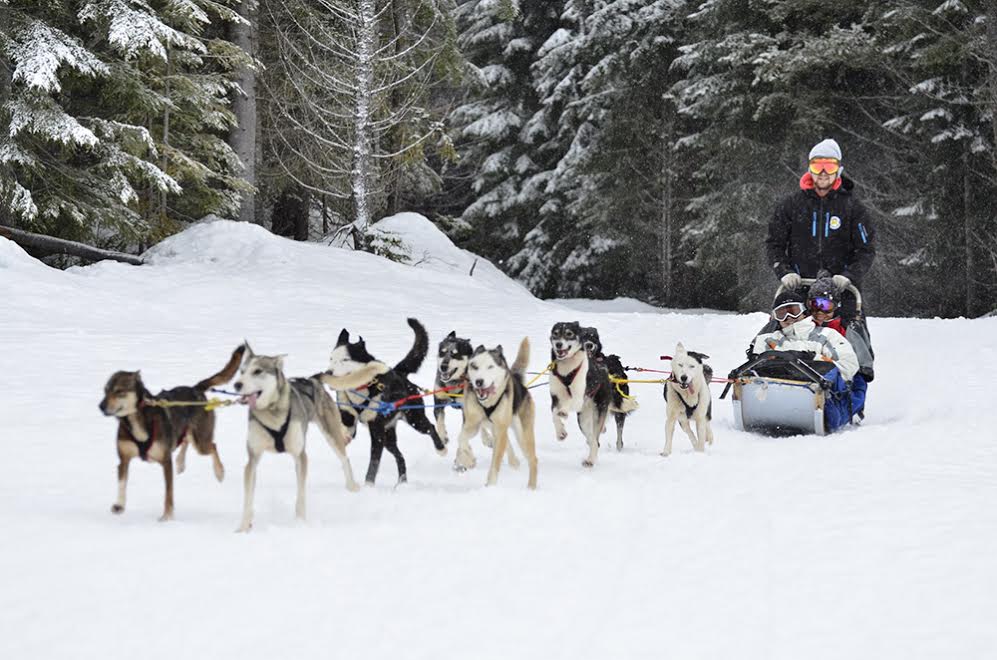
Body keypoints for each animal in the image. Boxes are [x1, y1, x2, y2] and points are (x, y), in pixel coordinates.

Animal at [98, 346, 245, 520]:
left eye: (119, 391)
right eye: (105, 390)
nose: (100, 406)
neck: (137, 420)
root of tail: (195, 389)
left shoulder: (165, 461)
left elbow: (169, 493)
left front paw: (167, 517)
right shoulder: (124, 459)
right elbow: (122, 483)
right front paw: (119, 505)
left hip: (201, 441)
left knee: (212, 446)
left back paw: (219, 472)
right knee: (185, 440)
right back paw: (181, 462)